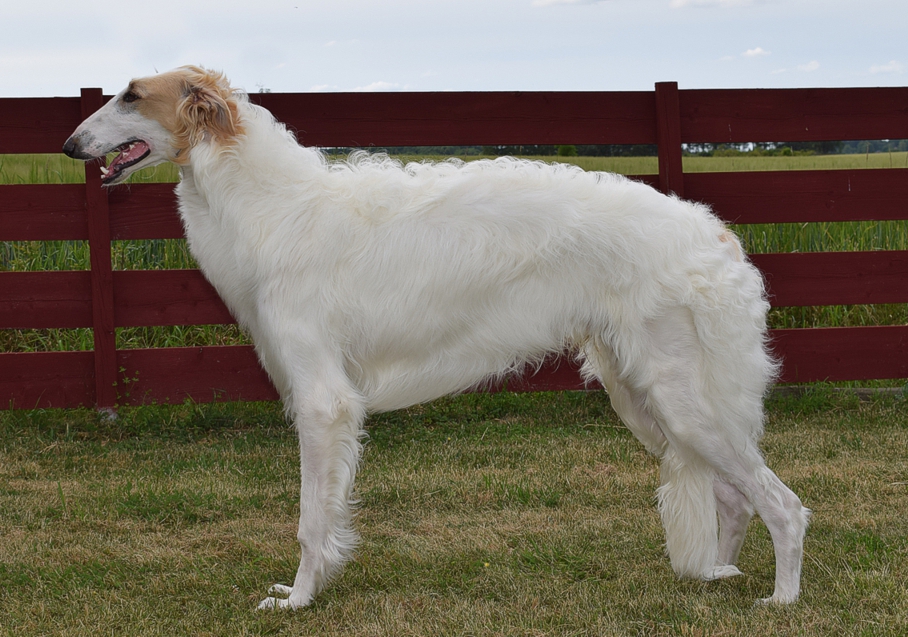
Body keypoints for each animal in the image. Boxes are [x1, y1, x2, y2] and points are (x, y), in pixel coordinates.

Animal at [67, 66, 812, 608]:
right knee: (733, 496)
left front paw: (300, 598)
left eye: (132, 94)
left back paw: (782, 598)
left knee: (782, 504)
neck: (273, 204)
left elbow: (311, 520)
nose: (70, 146)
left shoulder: (323, 401)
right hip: (644, 396)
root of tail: (714, 233)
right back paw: (716, 575)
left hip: (680, 396)